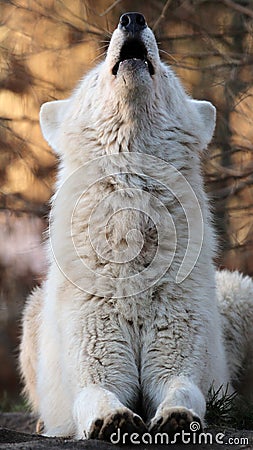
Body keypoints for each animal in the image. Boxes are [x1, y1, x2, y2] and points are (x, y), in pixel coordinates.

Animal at [20, 13, 253, 440]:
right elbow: (98, 394)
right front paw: (113, 419)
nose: (131, 18)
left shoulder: (178, 362)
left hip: (241, 292)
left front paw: (177, 417)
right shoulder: (96, 363)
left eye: (166, 72)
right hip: (33, 310)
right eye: (97, 76)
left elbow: (183, 389)